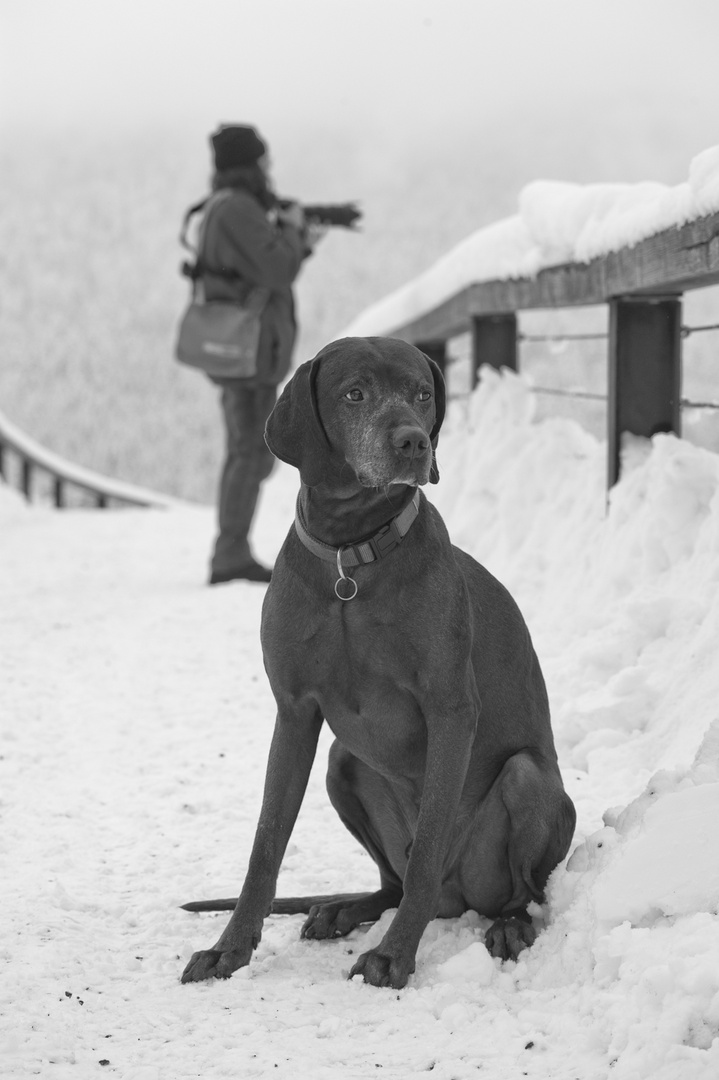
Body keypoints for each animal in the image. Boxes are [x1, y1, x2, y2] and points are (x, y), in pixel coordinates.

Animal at [182, 336, 574, 989]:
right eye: (355, 393)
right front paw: (228, 950)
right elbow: (265, 846)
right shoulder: (294, 713)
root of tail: (458, 902)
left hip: (525, 781)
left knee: (510, 889)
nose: (415, 442)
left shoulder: (449, 710)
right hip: (343, 763)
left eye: (422, 393)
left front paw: (394, 957)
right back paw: (342, 909)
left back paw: (507, 924)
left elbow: (429, 844)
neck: (351, 557)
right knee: (389, 880)